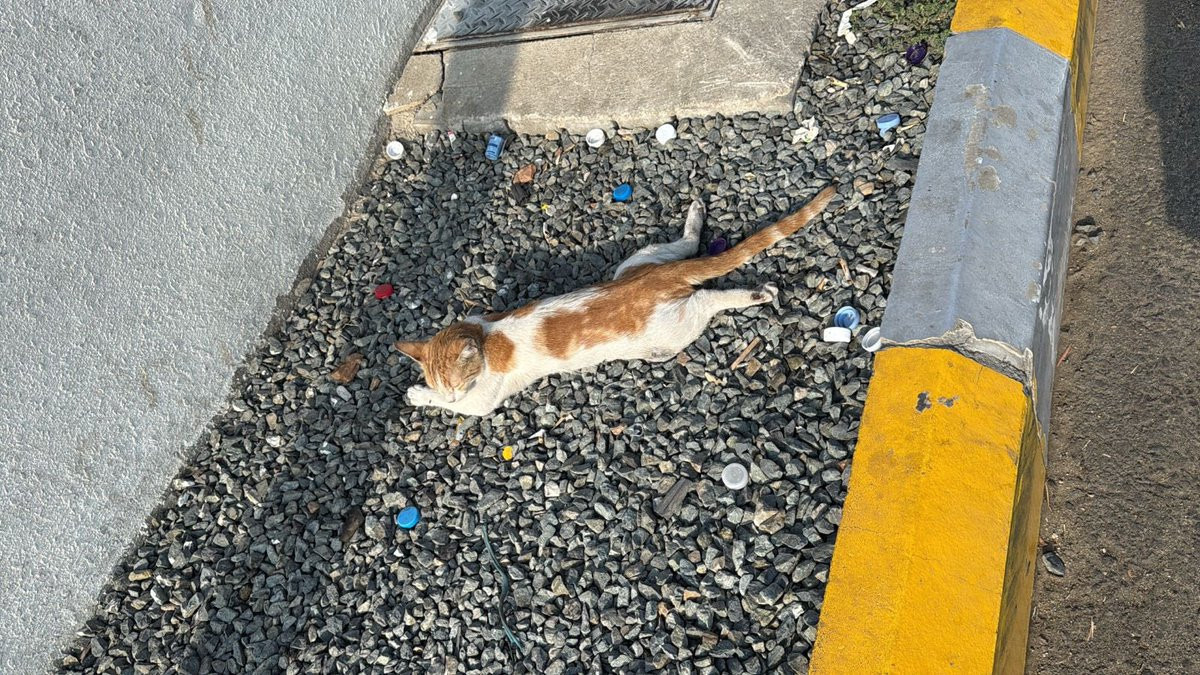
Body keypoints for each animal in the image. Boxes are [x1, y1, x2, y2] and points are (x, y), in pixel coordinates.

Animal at [395, 185, 836, 417]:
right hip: (641, 258)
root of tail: (660, 277)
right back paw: (695, 217)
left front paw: (418, 396)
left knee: (712, 298)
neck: (485, 336)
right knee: (688, 245)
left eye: (455, 385)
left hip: (675, 328)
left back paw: (758, 293)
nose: (451, 393)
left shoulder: (482, 399)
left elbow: (458, 407)